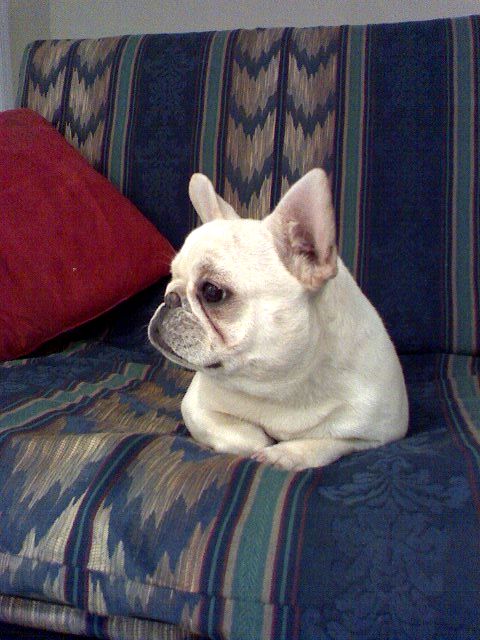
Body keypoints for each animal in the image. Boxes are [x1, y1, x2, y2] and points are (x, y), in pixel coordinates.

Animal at [148, 169, 408, 470]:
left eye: (212, 292)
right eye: (171, 276)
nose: (169, 298)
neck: (280, 385)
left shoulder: (378, 433)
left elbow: (329, 442)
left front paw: (285, 453)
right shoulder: (196, 408)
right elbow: (249, 437)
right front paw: (265, 443)